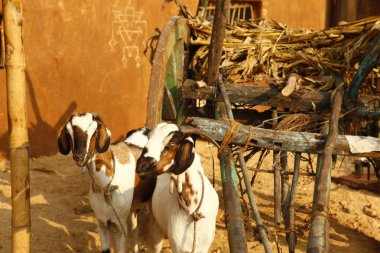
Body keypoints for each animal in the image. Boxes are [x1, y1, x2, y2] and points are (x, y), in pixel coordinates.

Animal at [57, 113, 154, 253]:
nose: (80, 156)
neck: (106, 186)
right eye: (68, 132)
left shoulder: (120, 226)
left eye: (94, 131)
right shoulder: (102, 223)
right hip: (134, 207)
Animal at [137, 122, 220, 253]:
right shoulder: (177, 247)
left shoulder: (203, 247)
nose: (141, 166)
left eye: (172, 142)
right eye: (148, 138)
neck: (191, 210)